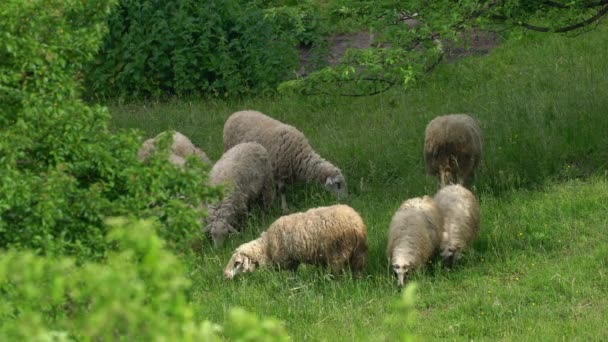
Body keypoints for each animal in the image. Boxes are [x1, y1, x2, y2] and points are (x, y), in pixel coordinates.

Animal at [223, 204, 366, 280]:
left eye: (236, 263)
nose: (225, 276)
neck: (266, 247)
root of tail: (357, 224)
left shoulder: (287, 261)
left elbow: (290, 277)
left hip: (338, 253)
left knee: (337, 273)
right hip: (358, 254)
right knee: (357, 271)